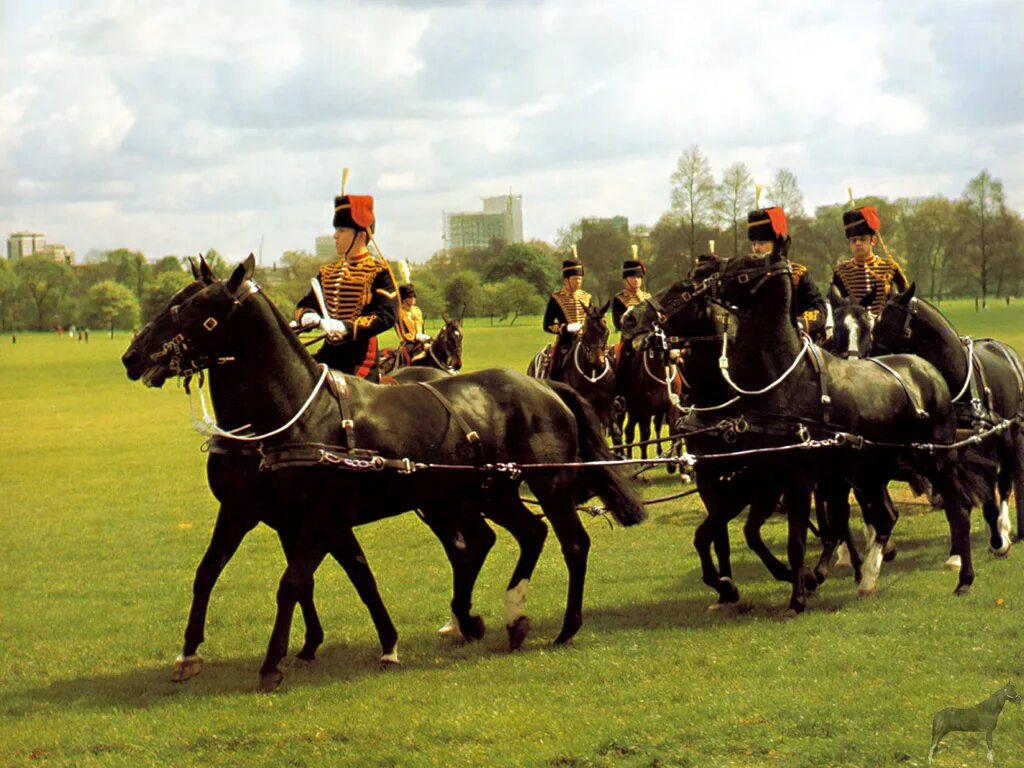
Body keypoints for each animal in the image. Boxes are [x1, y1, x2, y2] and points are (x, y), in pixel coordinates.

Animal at [123, 257, 643, 692]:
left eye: (197, 307)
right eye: (176, 298)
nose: (133, 356)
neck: (286, 417)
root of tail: (546, 386)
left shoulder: (321, 516)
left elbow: (295, 581)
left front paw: (273, 663)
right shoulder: (251, 512)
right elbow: (215, 573)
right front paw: (191, 654)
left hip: (545, 484)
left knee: (570, 543)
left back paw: (564, 626)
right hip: (482, 492)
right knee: (518, 535)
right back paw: (503, 618)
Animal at [872, 280, 1024, 552]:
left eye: (892, 328)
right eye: (875, 327)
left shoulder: (983, 442)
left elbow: (989, 492)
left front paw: (998, 538)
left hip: (1012, 433)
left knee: (1006, 480)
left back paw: (1004, 529)